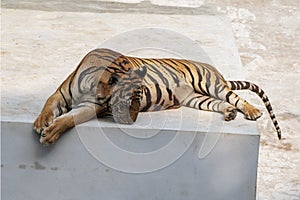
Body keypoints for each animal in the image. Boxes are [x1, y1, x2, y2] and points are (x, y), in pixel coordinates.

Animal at [33, 48, 282, 145]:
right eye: (127, 101)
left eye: (137, 99)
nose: (132, 121)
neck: (92, 83)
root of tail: (216, 71)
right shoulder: (60, 94)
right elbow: (48, 104)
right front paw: (40, 122)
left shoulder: (90, 106)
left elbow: (68, 120)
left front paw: (50, 133)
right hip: (196, 98)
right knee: (221, 104)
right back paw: (229, 113)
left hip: (209, 83)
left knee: (236, 98)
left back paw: (252, 111)